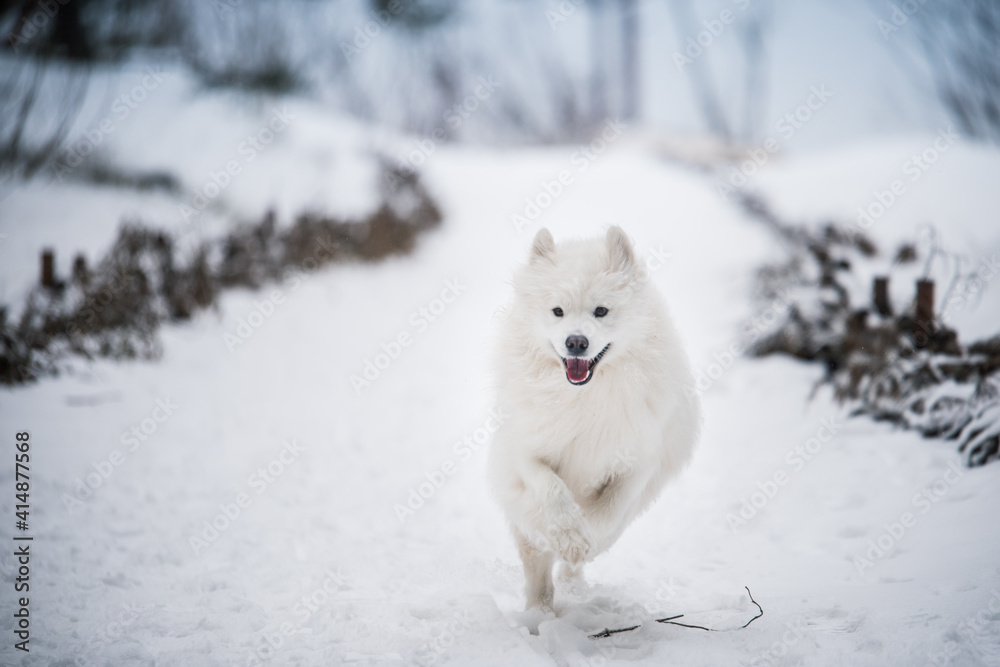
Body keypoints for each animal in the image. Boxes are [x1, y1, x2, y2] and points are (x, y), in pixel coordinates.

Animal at [488, 228, 700, 612]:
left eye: (601, 311)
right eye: (557, 311)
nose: (576, 342)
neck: (586, 397)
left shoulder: (637, 463)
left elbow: (607, 513)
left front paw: (582, 540)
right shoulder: (526, 452)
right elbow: (552, 488)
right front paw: (570, 536)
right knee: (537, 567)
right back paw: (539, 612)